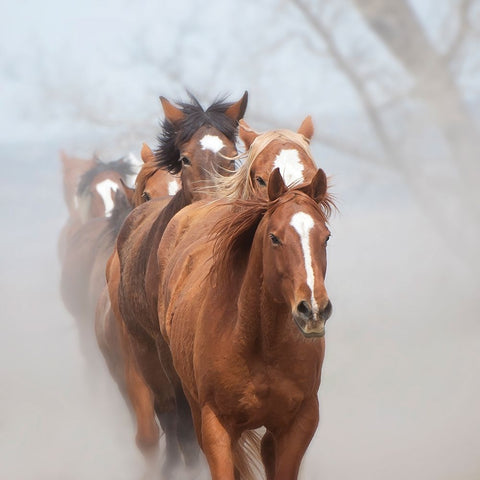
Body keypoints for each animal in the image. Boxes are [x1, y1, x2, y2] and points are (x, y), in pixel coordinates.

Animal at [158, 166, 334, 480]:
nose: (313, 309)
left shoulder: (298, 423)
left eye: (325, 237)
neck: (259, 344)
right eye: (275, 238)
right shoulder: (216, 426)